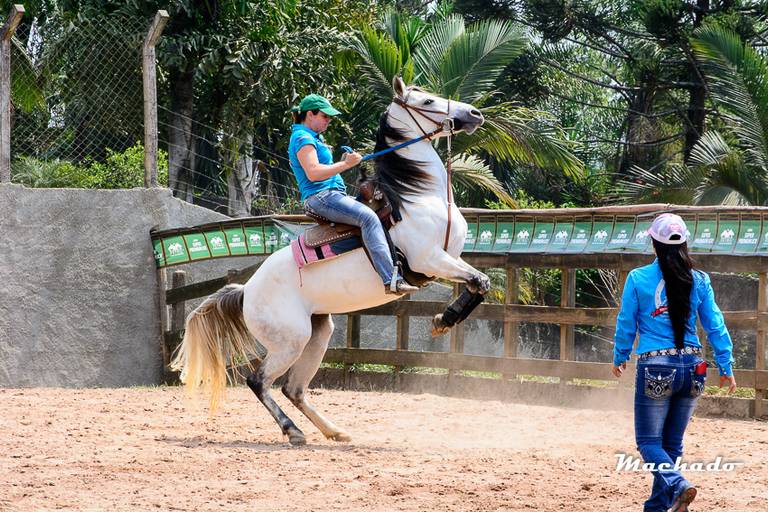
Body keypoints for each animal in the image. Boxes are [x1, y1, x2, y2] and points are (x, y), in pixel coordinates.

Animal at [171, 76, 491, 446]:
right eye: (427, 101)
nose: (474, 114)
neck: (416, 199)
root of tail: (246, 291)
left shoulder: (448, 261)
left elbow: (478, 284)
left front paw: (443, 319)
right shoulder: (430, 260)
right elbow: (480, 281)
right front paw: (444, 319)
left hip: (317, 333)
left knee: (293, 389)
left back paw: (334, 431)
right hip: (290, 341)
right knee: (259, 381)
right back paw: (293, 431)